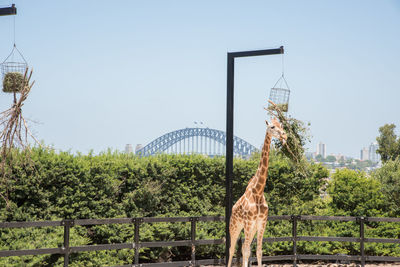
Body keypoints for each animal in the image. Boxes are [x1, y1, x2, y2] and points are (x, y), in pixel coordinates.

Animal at [227, 117, 286, 267]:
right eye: (272, 127)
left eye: (281, 125)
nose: (284, 135)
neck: (258, 192)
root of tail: (232, 208)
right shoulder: (248, 222)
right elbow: (247, 251)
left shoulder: (262, 222)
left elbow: (259, 251)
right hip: (235, 226)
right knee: (232, 248)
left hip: (251, 228)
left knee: (243, 247)